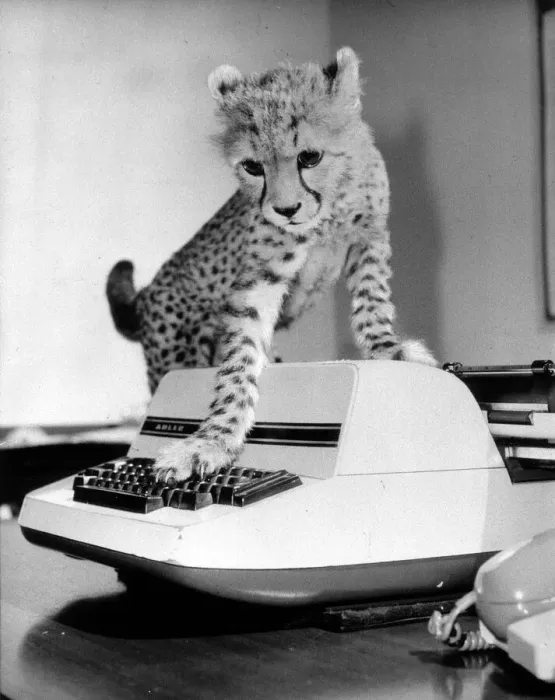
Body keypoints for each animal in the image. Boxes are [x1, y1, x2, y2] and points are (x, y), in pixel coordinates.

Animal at [106, 47, 437, 482]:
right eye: (252, 167)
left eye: (309, 157)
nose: (285, 209)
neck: (327, 212)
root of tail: (146, 292)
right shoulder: (261, 277)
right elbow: (239, 362)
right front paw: (213, 441)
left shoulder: (370, 238)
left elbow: (372, 301)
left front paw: (388, 348)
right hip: (173, 356)